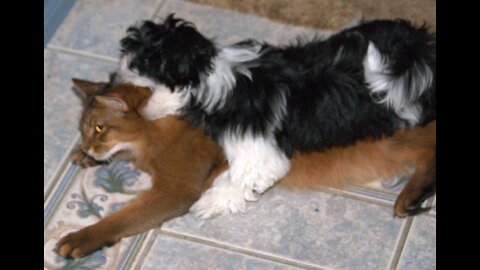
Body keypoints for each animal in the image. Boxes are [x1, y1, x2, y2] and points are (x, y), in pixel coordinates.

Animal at [56, 78, 436, 258]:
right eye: (83, 129)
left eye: (99, 128)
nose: (87, 145)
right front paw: (85, 157)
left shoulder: (176, 190)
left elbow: (120, 220)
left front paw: (80, 238)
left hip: (391, 139)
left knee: (430, 148)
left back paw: (412, 194)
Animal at [115, 13, 436, 218]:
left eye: (144, 61)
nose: (120, 68)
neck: (220, 80)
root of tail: (417, 52)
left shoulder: (257, 150)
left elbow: (245, 175)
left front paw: (213, 201)